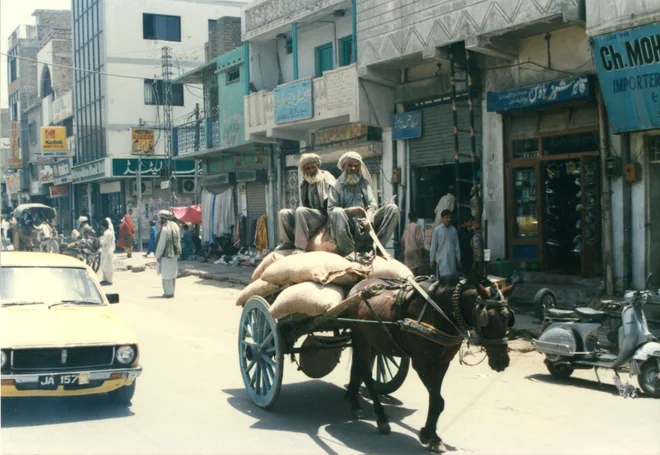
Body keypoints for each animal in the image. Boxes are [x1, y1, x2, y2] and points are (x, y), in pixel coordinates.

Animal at [342, 274, 520, 452]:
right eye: (486, 319)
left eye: (508, 317)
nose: (502, 361)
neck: (441, 313)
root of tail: (359, 285)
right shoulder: (423, 365)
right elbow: (437, 401)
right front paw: (429, 436)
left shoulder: (442, 363)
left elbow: (436, 401)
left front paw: (432, 436)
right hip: (361, 340)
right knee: (365, 373)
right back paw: (381, 417)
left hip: (374, 343)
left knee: (358, 368)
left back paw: (354, 402)